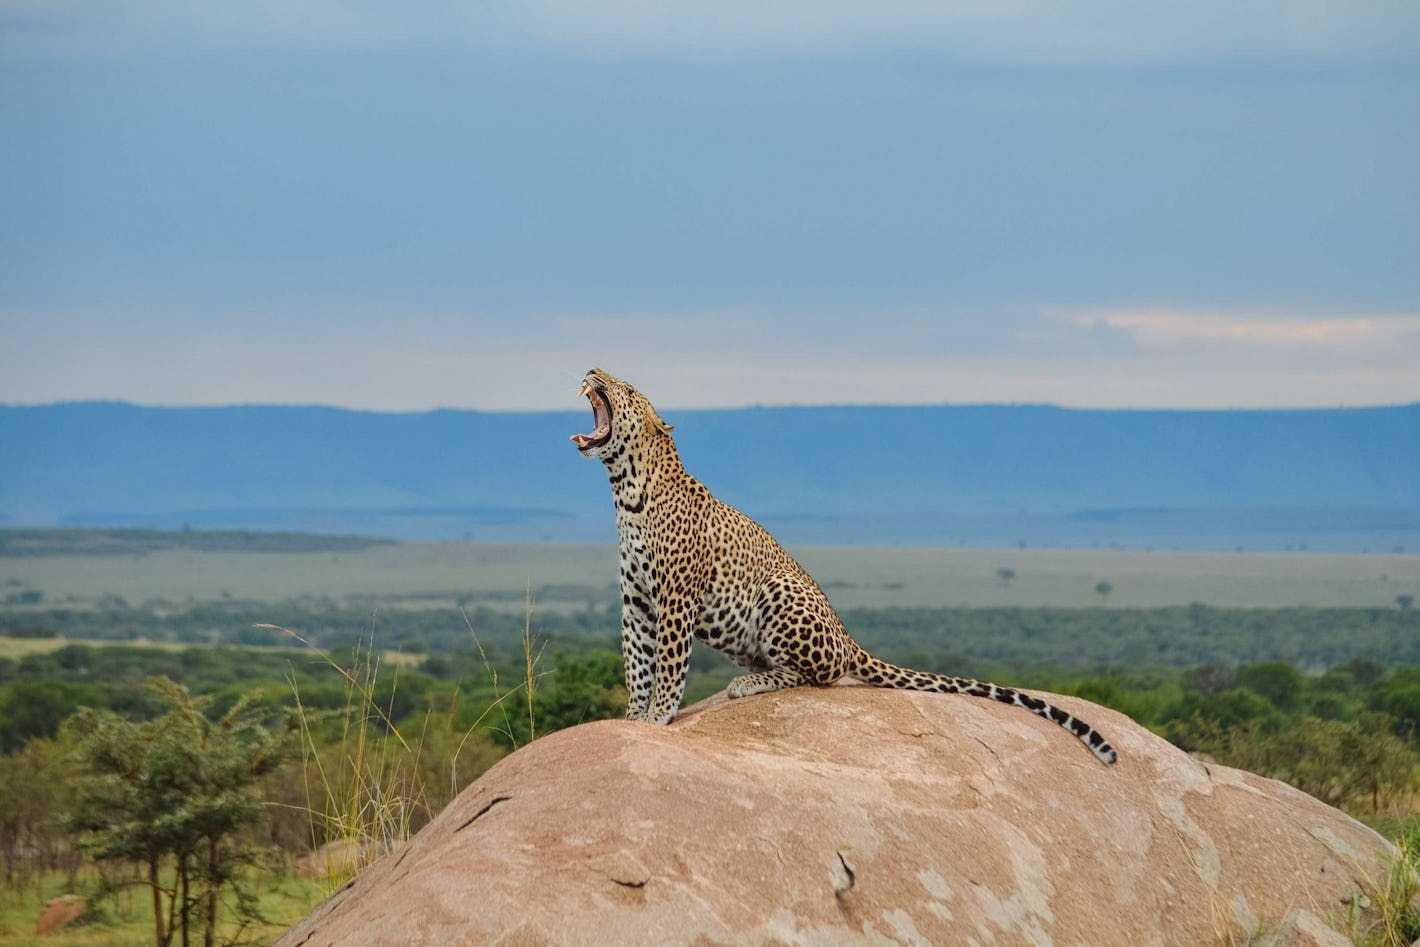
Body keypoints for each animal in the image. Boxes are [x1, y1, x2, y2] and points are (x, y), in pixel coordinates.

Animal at [570, 367, 1117, 765]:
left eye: (628, 388)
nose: (592, 368)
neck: (626, 489)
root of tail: (850, 638)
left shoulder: (675, 597)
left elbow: (667, 664)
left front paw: (658, 716)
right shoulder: (636, 602)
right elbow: (636, 662)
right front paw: (632, 716)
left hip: (779, 591)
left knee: (818, 677)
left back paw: (750, 684)